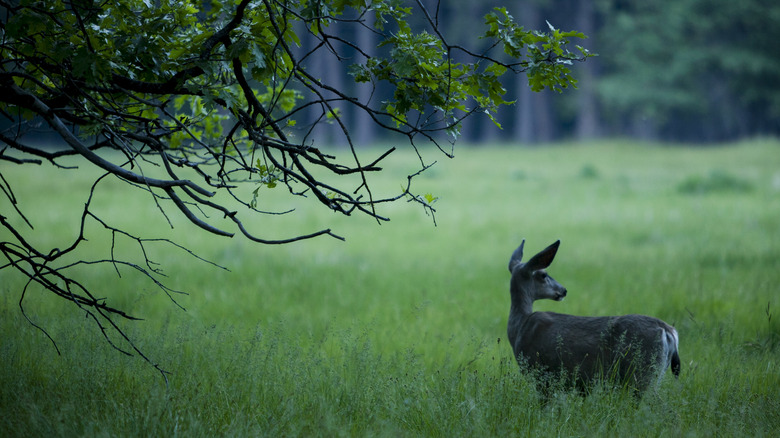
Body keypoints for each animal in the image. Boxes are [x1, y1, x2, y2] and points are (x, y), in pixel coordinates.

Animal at [507, 239, 680, 396]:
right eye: (543, 275)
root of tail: (668, 331)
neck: (520, 327)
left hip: (642, 371)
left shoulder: (540, 372)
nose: (563, 290)